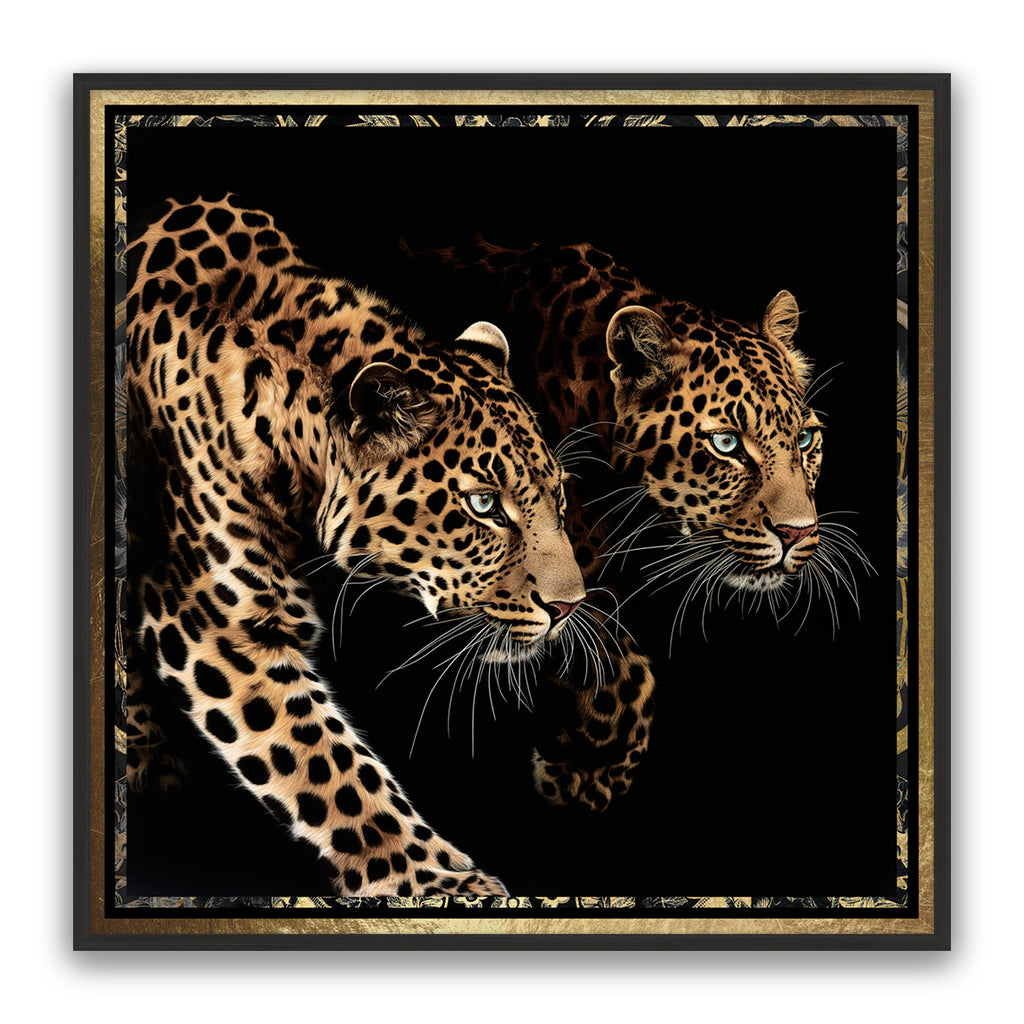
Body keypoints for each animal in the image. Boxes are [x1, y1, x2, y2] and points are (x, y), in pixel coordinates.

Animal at [122, 197, 588, 897]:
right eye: (483, 505)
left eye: (557, 496)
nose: (571, 607)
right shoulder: (213, 619)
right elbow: (329, 768)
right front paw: (440, 883)